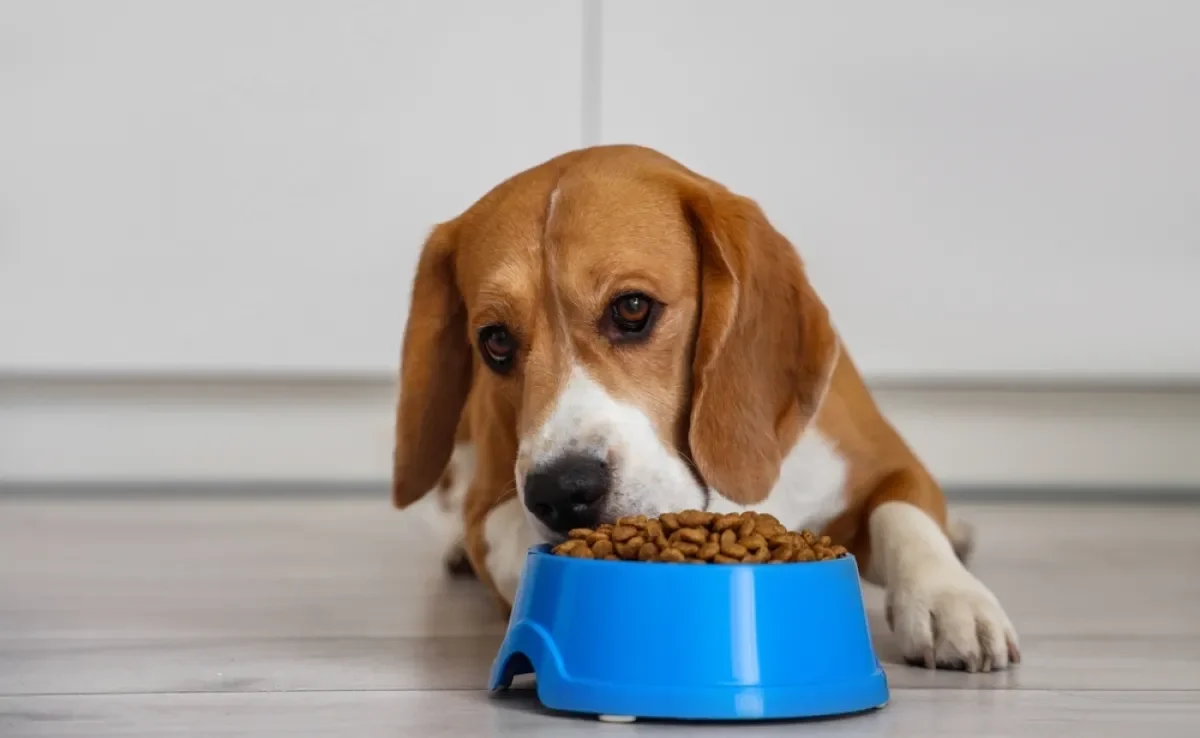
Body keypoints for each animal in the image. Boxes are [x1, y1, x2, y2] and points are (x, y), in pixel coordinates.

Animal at [388, 145, 1017, 676]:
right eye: (494, 340)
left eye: (632, 307)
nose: (562, 492)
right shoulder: (491, 507)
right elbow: (521, 545)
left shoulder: (887, 460)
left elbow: (903, 514)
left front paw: (948, 598)